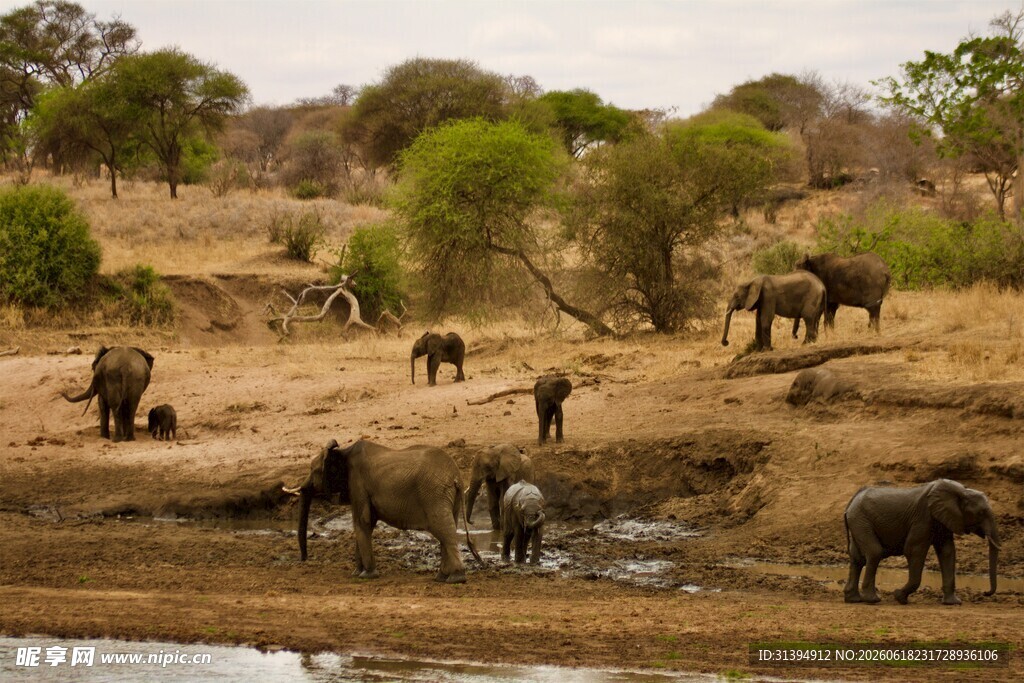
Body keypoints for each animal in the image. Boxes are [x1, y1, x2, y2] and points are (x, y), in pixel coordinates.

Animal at [283, 439, 482, 583]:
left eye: (312, 470)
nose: (304, 559)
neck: (343, 452)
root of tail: (456, 476)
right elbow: (365, 524)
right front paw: (357, 573)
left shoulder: (358, 485)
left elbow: (362, 522)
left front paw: (366, 575)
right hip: (445, 496)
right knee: (447, 529)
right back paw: (441, 578)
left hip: (434, 494)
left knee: (444, 531)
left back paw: (456, 579)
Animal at [844, 479, 999, 605]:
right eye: (981, 513)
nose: (985, 593)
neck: (962, 491)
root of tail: (851, 501)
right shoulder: (923, 517)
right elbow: (913, 550)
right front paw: (899, 597)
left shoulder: (943, 518)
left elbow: (947, 551)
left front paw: (953, 603)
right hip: (861, 520)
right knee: (875, 552)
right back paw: (872, 600)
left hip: (858, 521)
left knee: (858, 558)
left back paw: (853, 599)